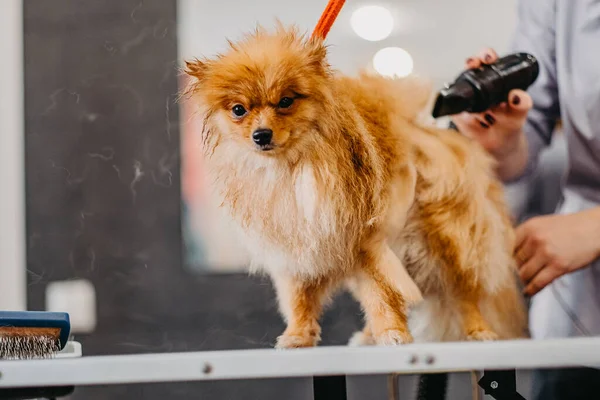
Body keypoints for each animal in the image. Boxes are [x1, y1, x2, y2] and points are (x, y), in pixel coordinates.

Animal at [183, 25, 524, 348]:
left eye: (285, 102)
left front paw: (392, 332)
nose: (261, 134)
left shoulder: (365, 243)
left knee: (462, 292)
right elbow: (299, 299)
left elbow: (381, 294)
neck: (292, 169)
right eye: (238, 110)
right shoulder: (299, 245)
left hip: (448, 239)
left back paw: (477, 330)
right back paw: (369, 335)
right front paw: (298, 336)